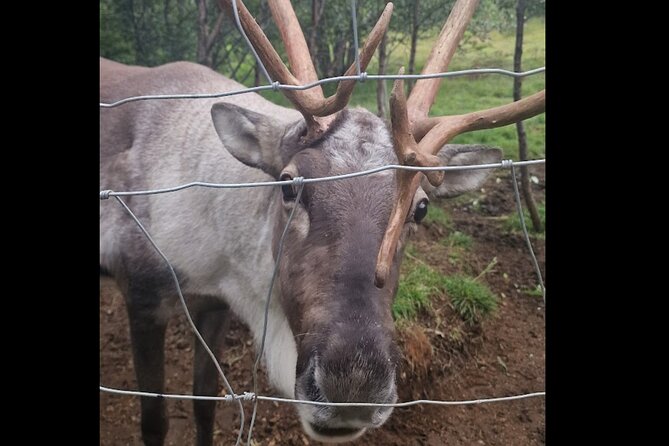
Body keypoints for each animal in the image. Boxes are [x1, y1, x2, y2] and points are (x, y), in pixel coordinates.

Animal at [99, 0, 545, 444]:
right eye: (288, 185)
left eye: (421, 208)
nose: (355, 387)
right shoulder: (142, 297)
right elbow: (154, 419)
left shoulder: (214, 305)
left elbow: (204, 403)